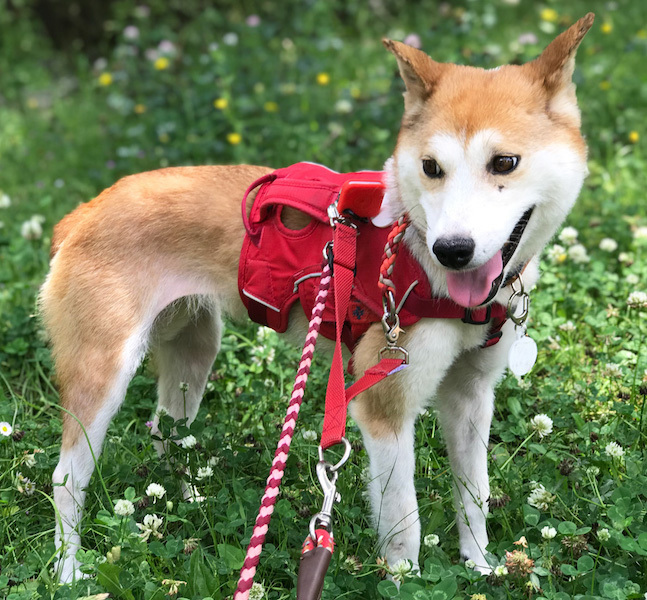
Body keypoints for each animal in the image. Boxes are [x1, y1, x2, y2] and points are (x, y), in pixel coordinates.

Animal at [41, 14, 594, 583]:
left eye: (504, 162)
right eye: (430, 167)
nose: (452, 250)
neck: (417, 253)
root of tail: (84, 212)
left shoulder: (471, 398)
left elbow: (475, 497)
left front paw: (481, 567)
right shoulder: (382, 406)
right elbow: (405, 522)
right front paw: (407, 582)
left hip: (192, 354)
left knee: (167, 434)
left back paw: (184, 499)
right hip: (104, 374)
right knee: (65, 479)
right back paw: (69, 572)